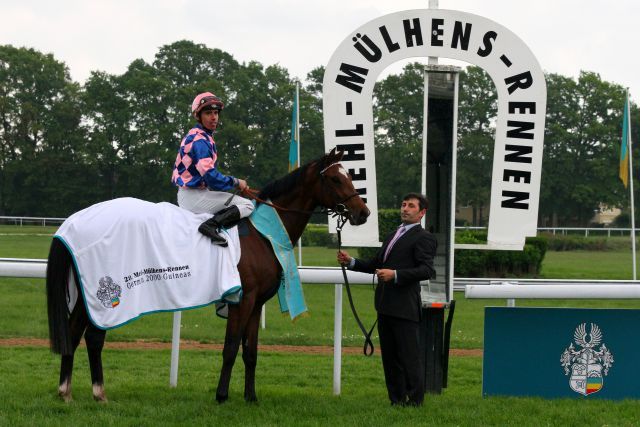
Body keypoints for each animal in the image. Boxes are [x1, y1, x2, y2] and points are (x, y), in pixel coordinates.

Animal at [46, 149, 370, 402]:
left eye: (350, 175)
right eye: (335, 178)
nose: (363, 212)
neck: (261, 235)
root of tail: (73, 221)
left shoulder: (257, 304)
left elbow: (251, 352)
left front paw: (251, 397)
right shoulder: (242, 299)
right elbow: (230, 348)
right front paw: (222, 395)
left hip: (84, 292)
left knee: (76, 334)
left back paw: (70, 391)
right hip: (105, 294)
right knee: (92, 337)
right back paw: (92, 392)